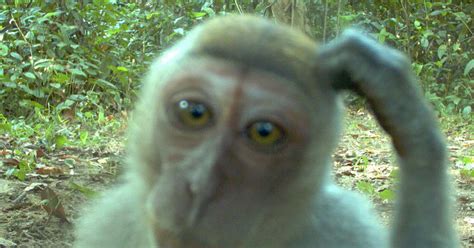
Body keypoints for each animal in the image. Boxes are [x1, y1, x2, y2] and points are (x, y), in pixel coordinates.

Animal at [75, 15, 460, 248]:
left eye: (264, 132)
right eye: (194, 113)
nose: (200, 186)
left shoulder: (342, 227)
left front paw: (412, 125)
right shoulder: (112, 221)